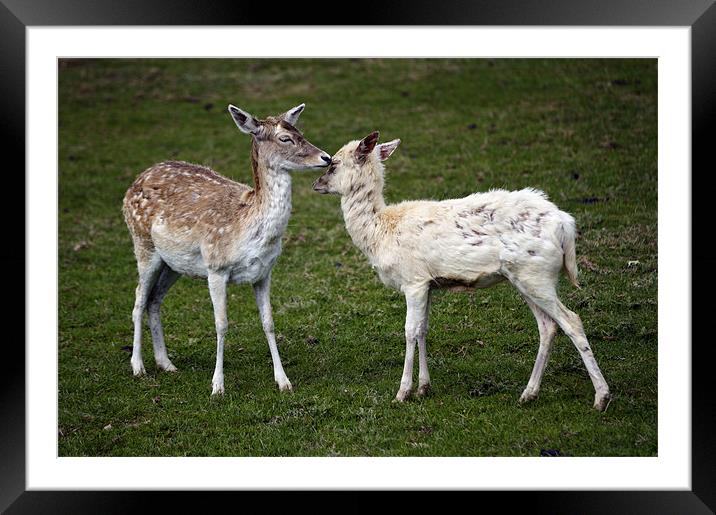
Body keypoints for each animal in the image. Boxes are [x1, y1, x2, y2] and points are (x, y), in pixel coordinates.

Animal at [124, 103, 332, 398]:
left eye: (300, 131)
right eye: (285, 138)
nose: (326, 157)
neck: (249, 231)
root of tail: (136, 180)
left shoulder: (264, 272)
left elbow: (269, 322)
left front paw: (283, 381)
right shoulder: (216, 267)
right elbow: (221, 324)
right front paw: (217, 386)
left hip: (174, 263)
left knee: (154, 299)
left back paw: (166, 363)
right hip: (143, 244)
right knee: (139, 299)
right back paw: (138, 367)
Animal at [314, 132, 608, 412]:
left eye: (334, 163)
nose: (316, 184)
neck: (380, 233)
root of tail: (566, 225)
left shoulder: (413, 280)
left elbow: (410, 330)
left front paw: (402, 393)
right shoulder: (429, 284)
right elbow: (423, 329)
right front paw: (424, 388)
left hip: (536, 274)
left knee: (572, 321)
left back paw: (601, 397)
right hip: (526, 278)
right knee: (548, 326)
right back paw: (529, 394)